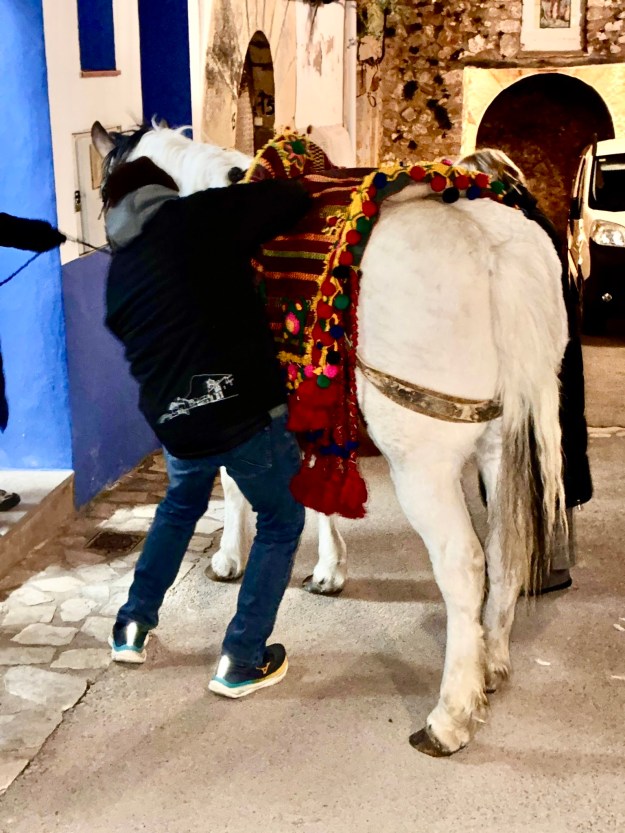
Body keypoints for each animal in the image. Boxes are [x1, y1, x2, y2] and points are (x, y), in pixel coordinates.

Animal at [91, 121, 568, 756]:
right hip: (502, 443)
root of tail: (495, 250)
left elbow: (232, 486)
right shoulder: (306, 405)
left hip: (423, 466)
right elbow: (318, 488)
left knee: (465, 566)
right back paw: (491, 662)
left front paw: (228, 558)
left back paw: (449, 717)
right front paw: (327, 569)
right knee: (505, 548)